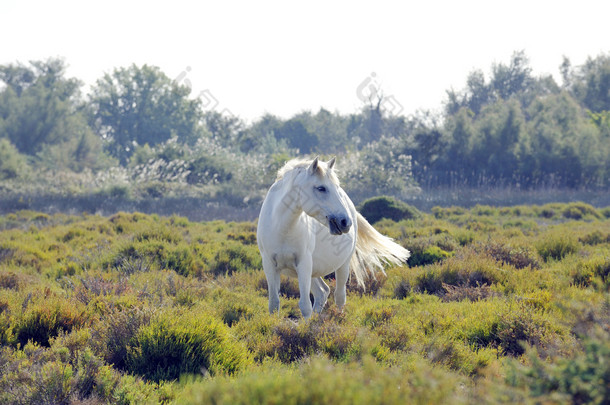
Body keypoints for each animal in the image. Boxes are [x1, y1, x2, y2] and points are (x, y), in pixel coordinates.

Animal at [256, 156, 408, 318]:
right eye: (321, 188)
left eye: (335, 187)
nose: (345, 222)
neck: (282, 228)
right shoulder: (270, 265)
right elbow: (274, 304)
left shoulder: (303, 263)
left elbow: (305, 305)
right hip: (312, 272)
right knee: (322, 292)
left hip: (342, 266)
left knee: (339, 296)